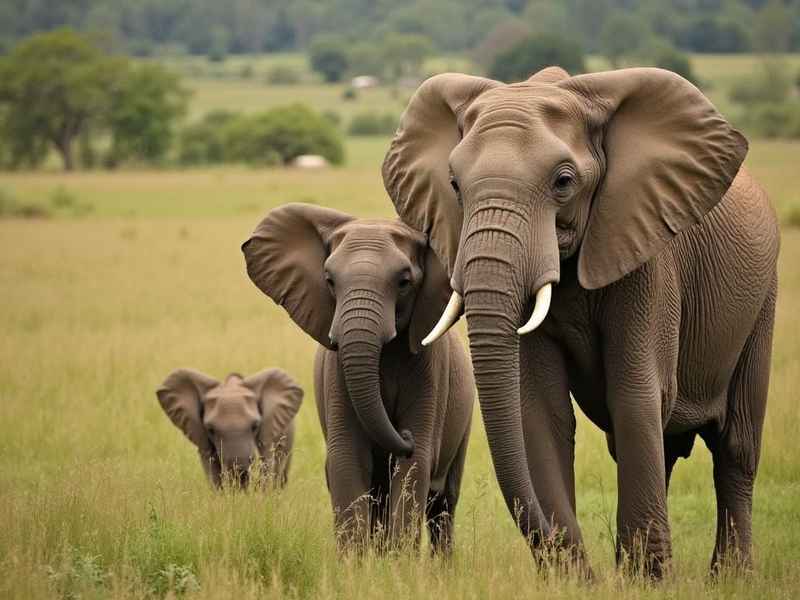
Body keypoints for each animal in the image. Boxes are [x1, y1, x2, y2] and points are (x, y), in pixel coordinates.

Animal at [242, 204, 474, 553]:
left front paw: (398, 562)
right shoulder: (336, 371)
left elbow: (415, 465)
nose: (403, 434)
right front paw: (357, 563)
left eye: (404, 282)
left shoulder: (432, 369)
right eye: (329, 280)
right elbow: (347, 459)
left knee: (443, 502)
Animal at [382, 66, 779, 576]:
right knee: (664, 445)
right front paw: (574, 578)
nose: (574, 563)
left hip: (763, 299)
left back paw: (727, 578)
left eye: (564, 181)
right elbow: (539, 408)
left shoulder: (647, 254)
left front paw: (644, 582)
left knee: (735, 447)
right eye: (453, 184)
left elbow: (635, 396)